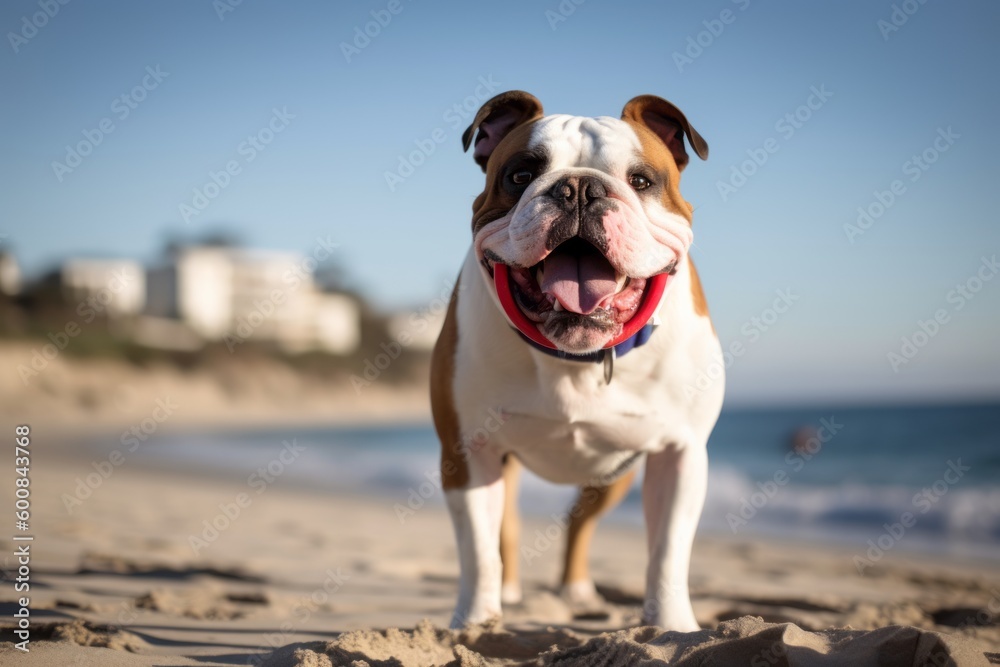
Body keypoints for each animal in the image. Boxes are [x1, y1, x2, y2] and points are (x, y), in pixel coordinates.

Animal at [430, 90, 728, 632]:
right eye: (520, 175)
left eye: (641, 181)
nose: (579, 189)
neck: (578, 356)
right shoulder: (466, 451)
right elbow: (478, 549)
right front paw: (474, 623)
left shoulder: (680, 454)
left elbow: (668, 552)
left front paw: (673, 626)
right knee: (506, 529)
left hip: (614, 474)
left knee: (578, 521)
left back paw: (577, 592)